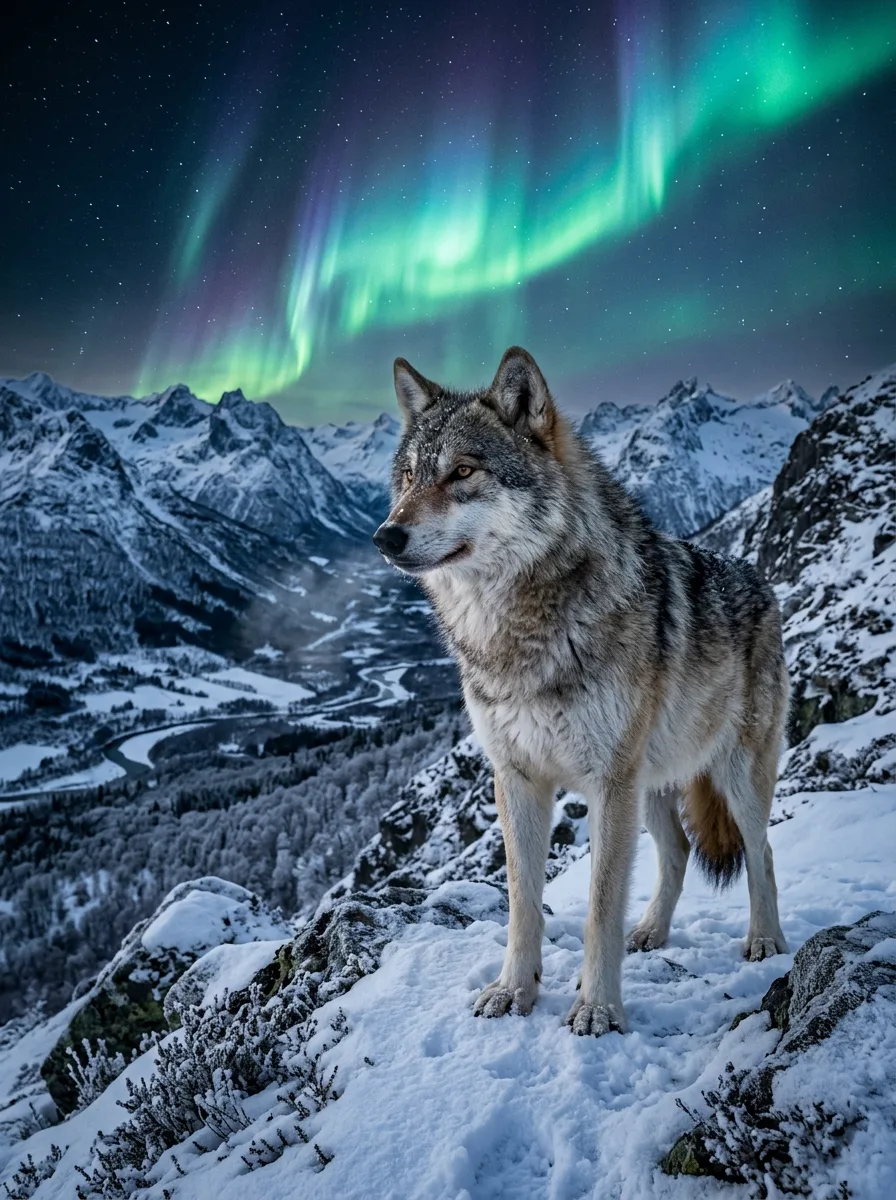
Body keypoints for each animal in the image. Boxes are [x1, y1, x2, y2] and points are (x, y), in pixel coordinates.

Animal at [373, 347, 789, 1036]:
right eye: (407, 477)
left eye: (462, 471)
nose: (385, 536)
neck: (517, 636)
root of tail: (760, 580)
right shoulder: (517, 779)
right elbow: (522, 903)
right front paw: (512, 991)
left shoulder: (605, 785)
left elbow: (599, 906)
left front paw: (597, 1008)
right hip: (651, 786)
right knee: (678, 851)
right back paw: (650, 932)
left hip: (732, 777)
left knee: (763, 853)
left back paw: (765, 941)